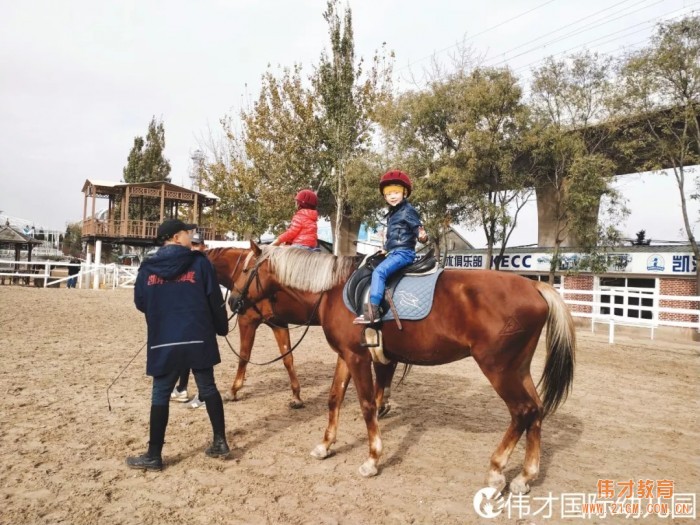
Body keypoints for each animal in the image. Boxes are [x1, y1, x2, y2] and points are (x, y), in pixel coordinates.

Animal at [205, 248, 400, 416]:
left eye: (247, 271)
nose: (232, 302)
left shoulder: (247, 322)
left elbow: (244, 356)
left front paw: (233, 390)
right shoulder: (278, 324)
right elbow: (287, 358)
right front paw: (296, 396)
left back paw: (381, 402)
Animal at [230, 244, 576, 494]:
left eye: (246, 270)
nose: (233, 302)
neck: (336, 288)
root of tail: (536, 288)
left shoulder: (358, 358)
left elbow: (367, 405)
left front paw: (372, 459)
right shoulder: (346, 355)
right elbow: (333, 399)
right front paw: (325, 445)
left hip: (499, 370)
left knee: (522, 411)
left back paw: (496, 471)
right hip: (519, 369)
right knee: (536, 410)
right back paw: (525, 476)